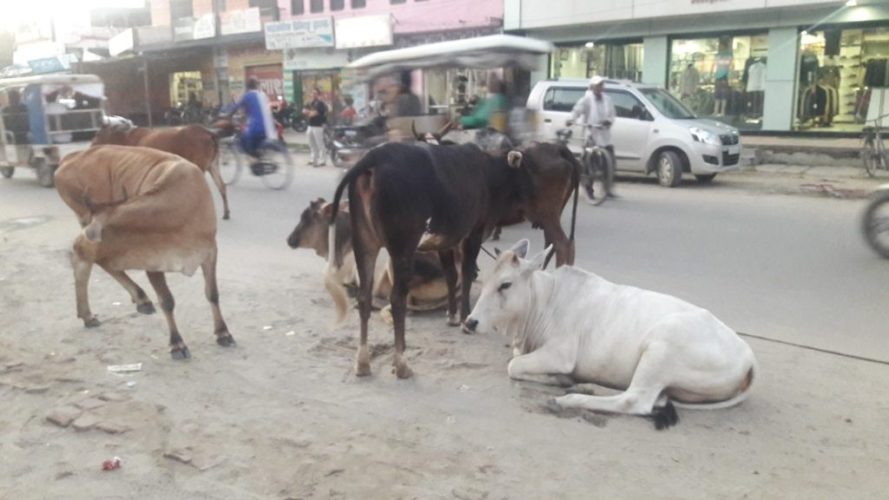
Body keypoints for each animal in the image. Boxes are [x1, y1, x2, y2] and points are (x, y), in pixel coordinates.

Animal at [54, 145, 236, 360]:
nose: (78, 243)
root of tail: (69, 158)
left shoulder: (209, 251)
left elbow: (212, 294)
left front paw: (223, 333)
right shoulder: (151, 260)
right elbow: (167, 301)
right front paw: (177, 344)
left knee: (99, 262)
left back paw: (134, 302)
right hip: (81, 214)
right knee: (90, 264)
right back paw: (90, 313)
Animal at [92, 119, 231, 221]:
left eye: (98, 133)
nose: (92, 145)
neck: (125, 139)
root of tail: (211, 134)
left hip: (200, 165)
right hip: (213, 164)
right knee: (222, 186)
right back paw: (226, 213)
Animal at [464, 240, 756, 428]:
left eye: (505, 285)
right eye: (485, 280)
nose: (470, 322)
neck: (545, 301)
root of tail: (750, 359)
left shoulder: (561, 354)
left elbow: (513, 366)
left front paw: (559, 380)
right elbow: (515, 360)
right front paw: (562, 379)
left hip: (660, 349)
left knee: (635, 400)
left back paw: (568, 398)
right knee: (656, 397)